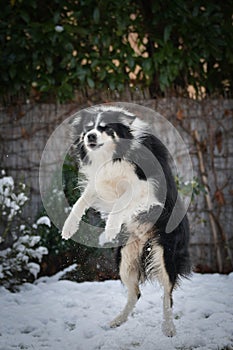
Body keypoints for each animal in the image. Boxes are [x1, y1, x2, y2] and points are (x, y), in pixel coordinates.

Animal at [62, 105, 191, 338]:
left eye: (105, 128)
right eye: (88, 128)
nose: (90, 136)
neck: (113, 154)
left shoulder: (146, 186)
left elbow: (124, 198)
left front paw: (111, 227)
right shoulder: (101, 183)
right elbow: (81, 201)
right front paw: (69, 227)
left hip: (165, 254)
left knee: (167, 295)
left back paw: (168, 327)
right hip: (125, 258)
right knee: (135, 293)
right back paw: (118, 320)